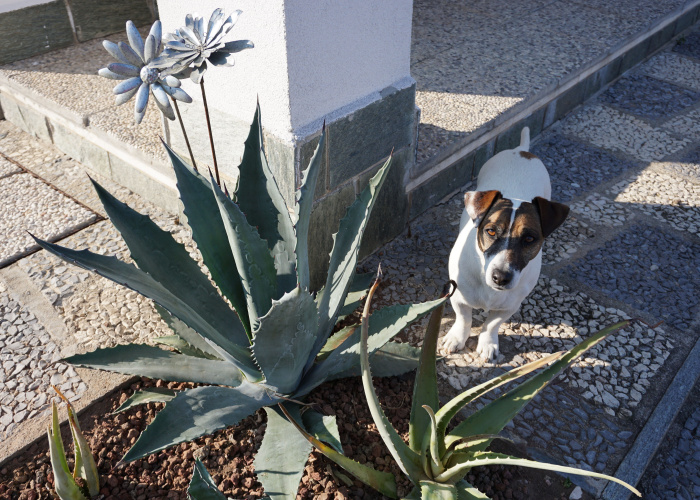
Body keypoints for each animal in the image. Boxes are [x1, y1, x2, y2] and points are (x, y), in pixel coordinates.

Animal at [442, 127, 568, 362]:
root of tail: (522, 150)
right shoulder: (459, 296)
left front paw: (487, 344)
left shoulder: (509, 306)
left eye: (529, 239)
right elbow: (464, 319)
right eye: (491, 231)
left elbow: (492, 325)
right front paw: (456, 339)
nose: (500, 277)